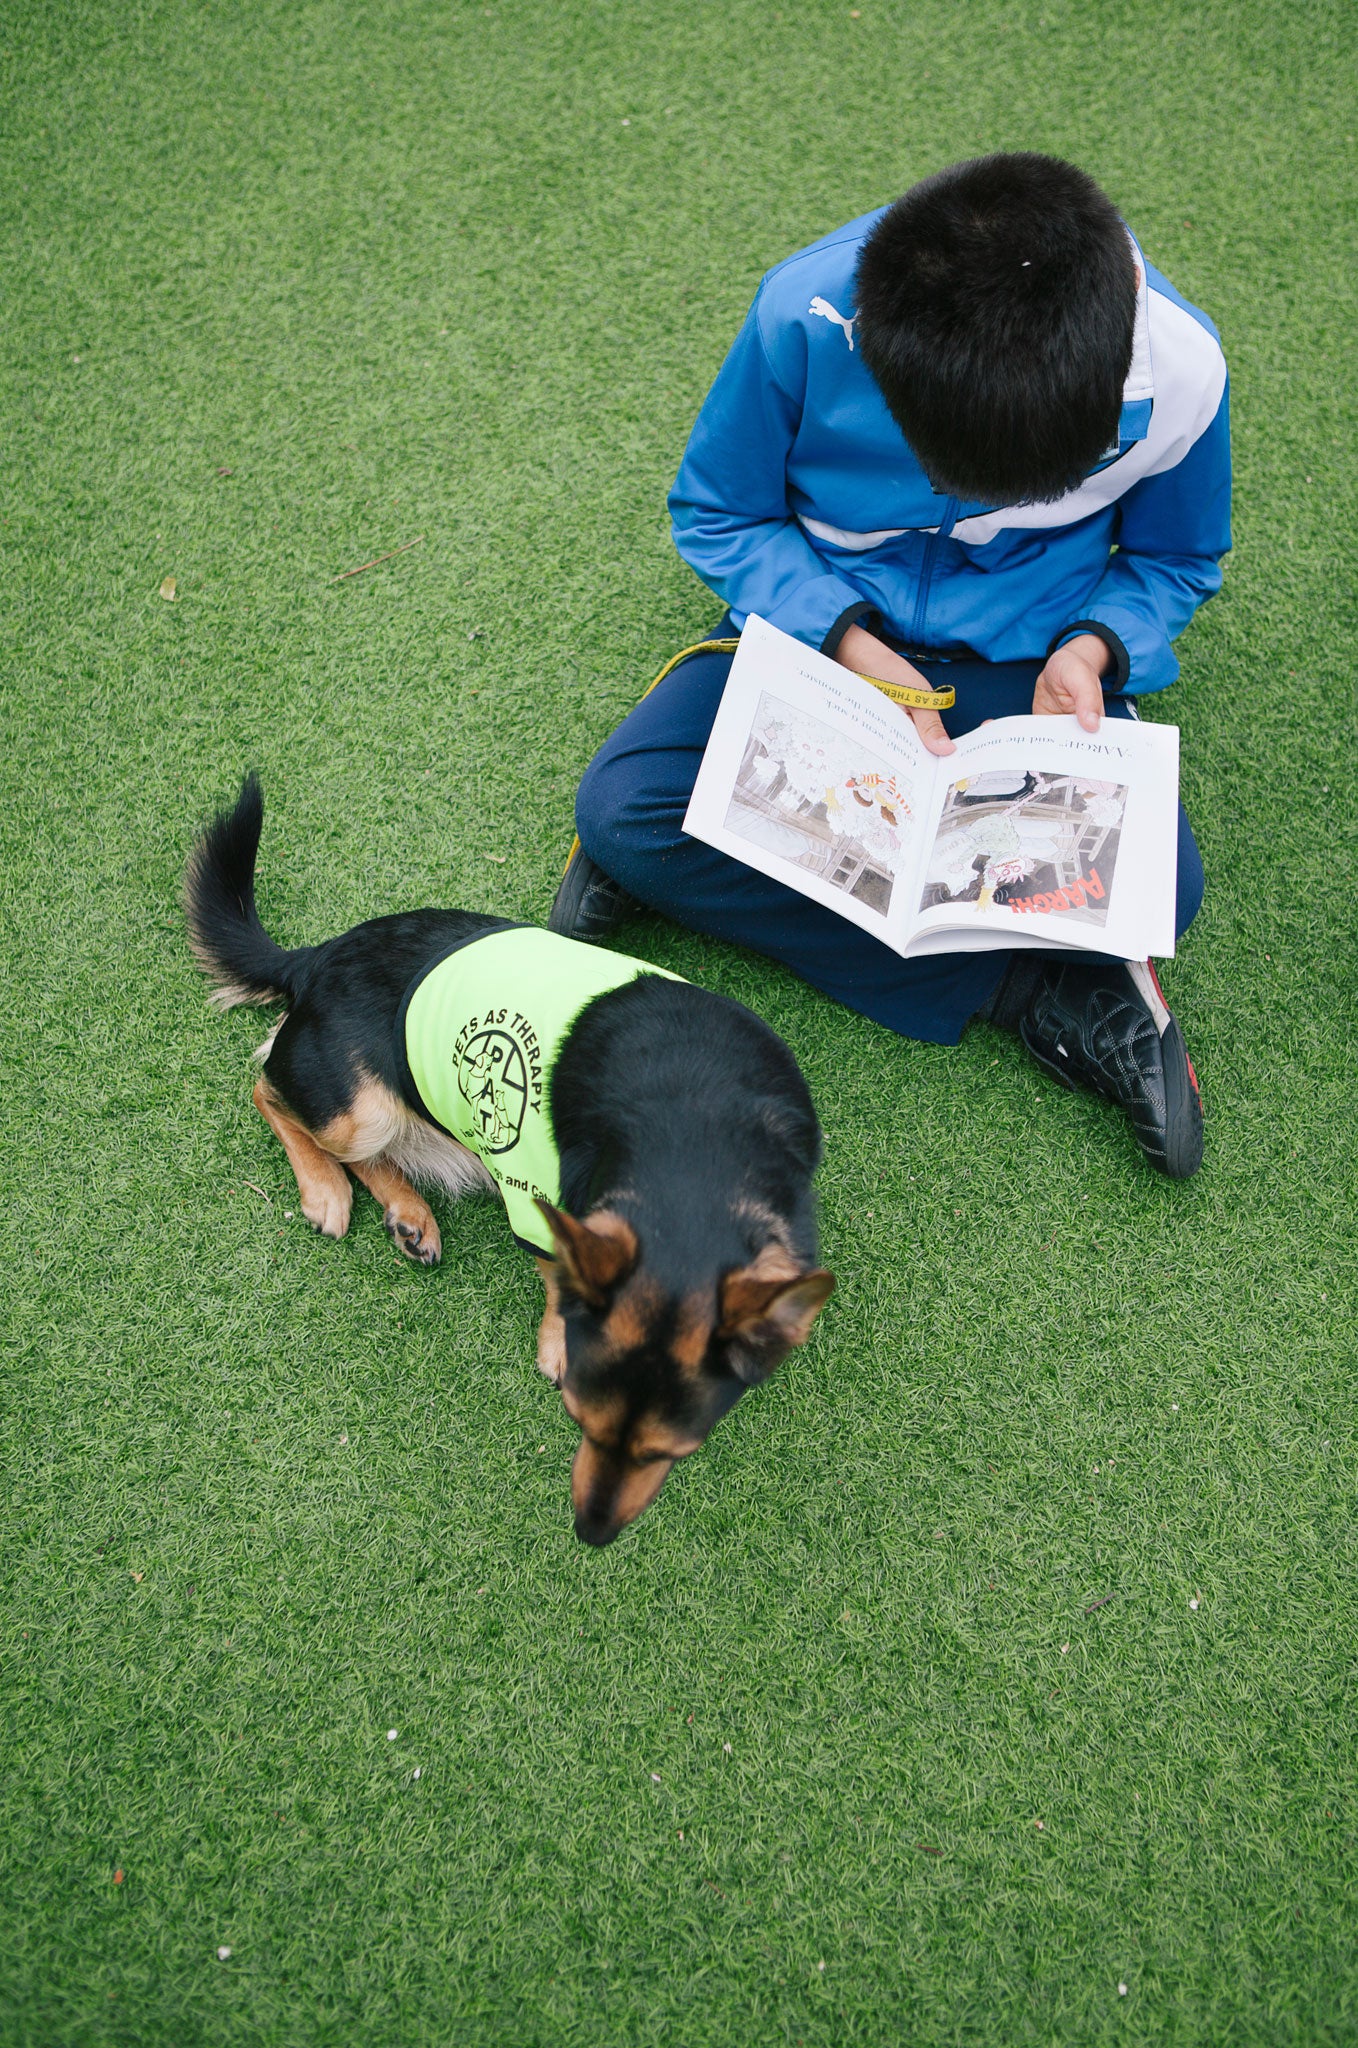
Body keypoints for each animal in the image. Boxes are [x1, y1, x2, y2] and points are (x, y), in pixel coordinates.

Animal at [184, 774, 835, 1540]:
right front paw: (558, 1342)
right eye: (580, 1422)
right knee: (266, 1087)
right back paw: (325, 1190)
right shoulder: (540, 1201)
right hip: (357, 1108)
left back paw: (409, 1216)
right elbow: (558, 1275)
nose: (591, 1535)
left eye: (676, 1452)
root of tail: (317, 955)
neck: (698, 1136)